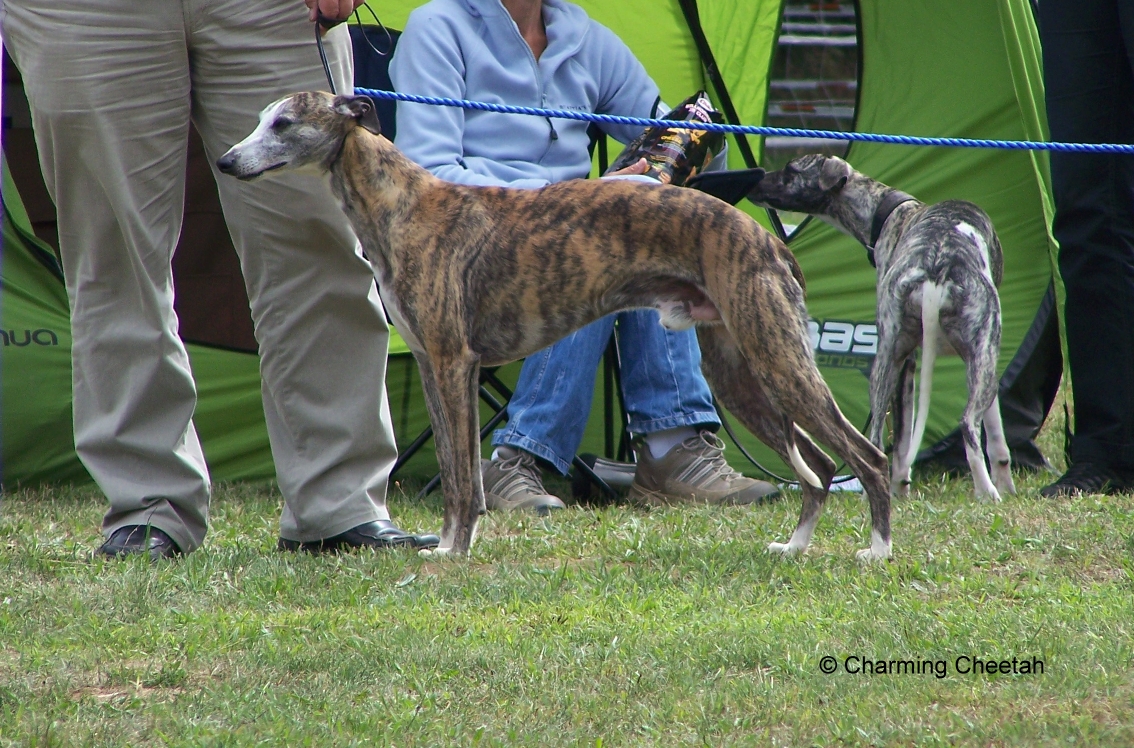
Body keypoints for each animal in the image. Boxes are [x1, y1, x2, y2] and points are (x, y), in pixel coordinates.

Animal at [216, 93, 893, 557]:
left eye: (282, 123)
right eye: (261, 119)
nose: (224, 161)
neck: (402, 205)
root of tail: (765, 237)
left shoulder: (455, 364)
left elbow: (463, 480)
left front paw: (452, 556)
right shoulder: (435, 371)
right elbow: (459, 472)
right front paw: (448, 547)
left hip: (776, 357)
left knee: (867, 455)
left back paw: (878, 550)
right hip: (741, 373)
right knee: (820, 467)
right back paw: (796, 547)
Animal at [748, 154, 1016, 498]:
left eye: (790, 169)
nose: (753, 182)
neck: (890, 211)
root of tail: (935, 267)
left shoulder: (931, 361)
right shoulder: (964, 358)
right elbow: (991, 431)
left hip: (890, 361)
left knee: (878, 441)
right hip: (948, 360)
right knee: (965, 424)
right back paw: (986, 492)